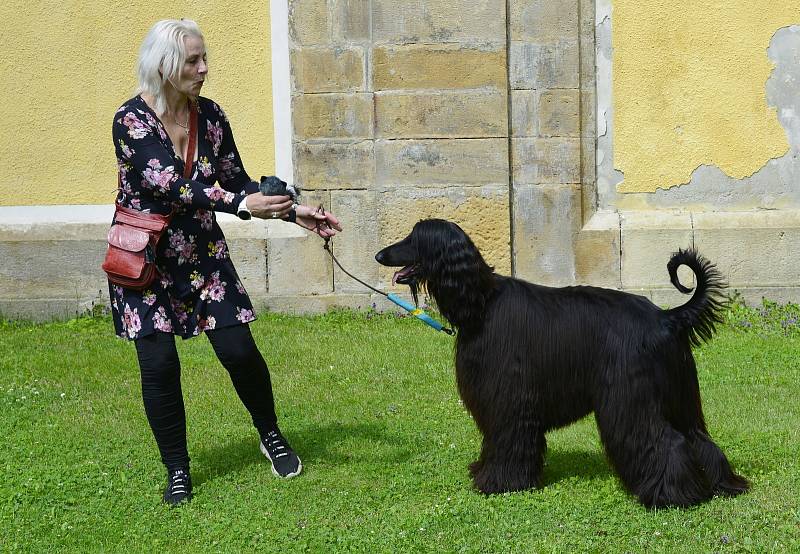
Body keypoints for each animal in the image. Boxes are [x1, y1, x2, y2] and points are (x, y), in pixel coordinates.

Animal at [376, 218, 752, 506]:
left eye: (415, 238)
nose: (380, 254)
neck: (482, 303)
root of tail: (667, 317)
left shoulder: (509, 397)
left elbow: (507, 440)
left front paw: (499, 483)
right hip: (679, 395)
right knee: (699, 439)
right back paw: (721, 486)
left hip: (633, 397)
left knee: (666, 441)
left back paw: (669, 496)